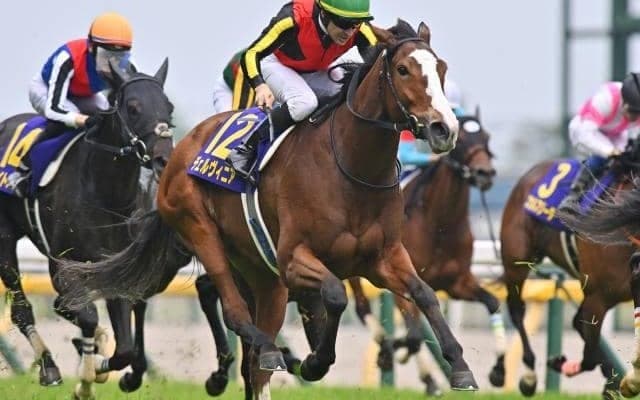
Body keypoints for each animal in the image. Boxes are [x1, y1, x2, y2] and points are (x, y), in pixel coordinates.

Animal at [0, 59, 175, 399]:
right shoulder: (63, 266)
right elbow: (88, 314)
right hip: (4, 239)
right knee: (22, 308)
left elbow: (124, 347)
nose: (164, 158)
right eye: (133, 107)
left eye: (169, 107)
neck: (104, 193)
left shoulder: (116, 266)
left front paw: (98, 369)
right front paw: (85, 377)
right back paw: (49, 366)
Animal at [54, 20, 478, 400]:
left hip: (262, 276)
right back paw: (272, 352)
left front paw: (460, 367)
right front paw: (314, 360)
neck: (352, 169)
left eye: (441, 69)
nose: (444, 129)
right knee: (235, 314)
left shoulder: (384, 257)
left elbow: (424, 294)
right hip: (201, 231)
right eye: (404, 69)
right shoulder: (293, 259)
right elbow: (334, 295)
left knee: (254, 363)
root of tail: (178, 149)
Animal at [346, 110, 503, 394]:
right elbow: (414, 336)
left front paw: (498, 371)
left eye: (486, 137)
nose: (484, 173)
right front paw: (395, 353)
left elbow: (493, 302)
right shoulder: (402, 280)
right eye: (462, 140)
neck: (440, 224)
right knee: (362, 307)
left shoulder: (457, 283)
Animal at [500, 151, 639, 399]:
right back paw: (529, 375)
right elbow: (589, 355)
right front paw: (561, 364)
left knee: (576, 322)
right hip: (516, 260)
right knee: (517, 310)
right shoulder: (598, 297)